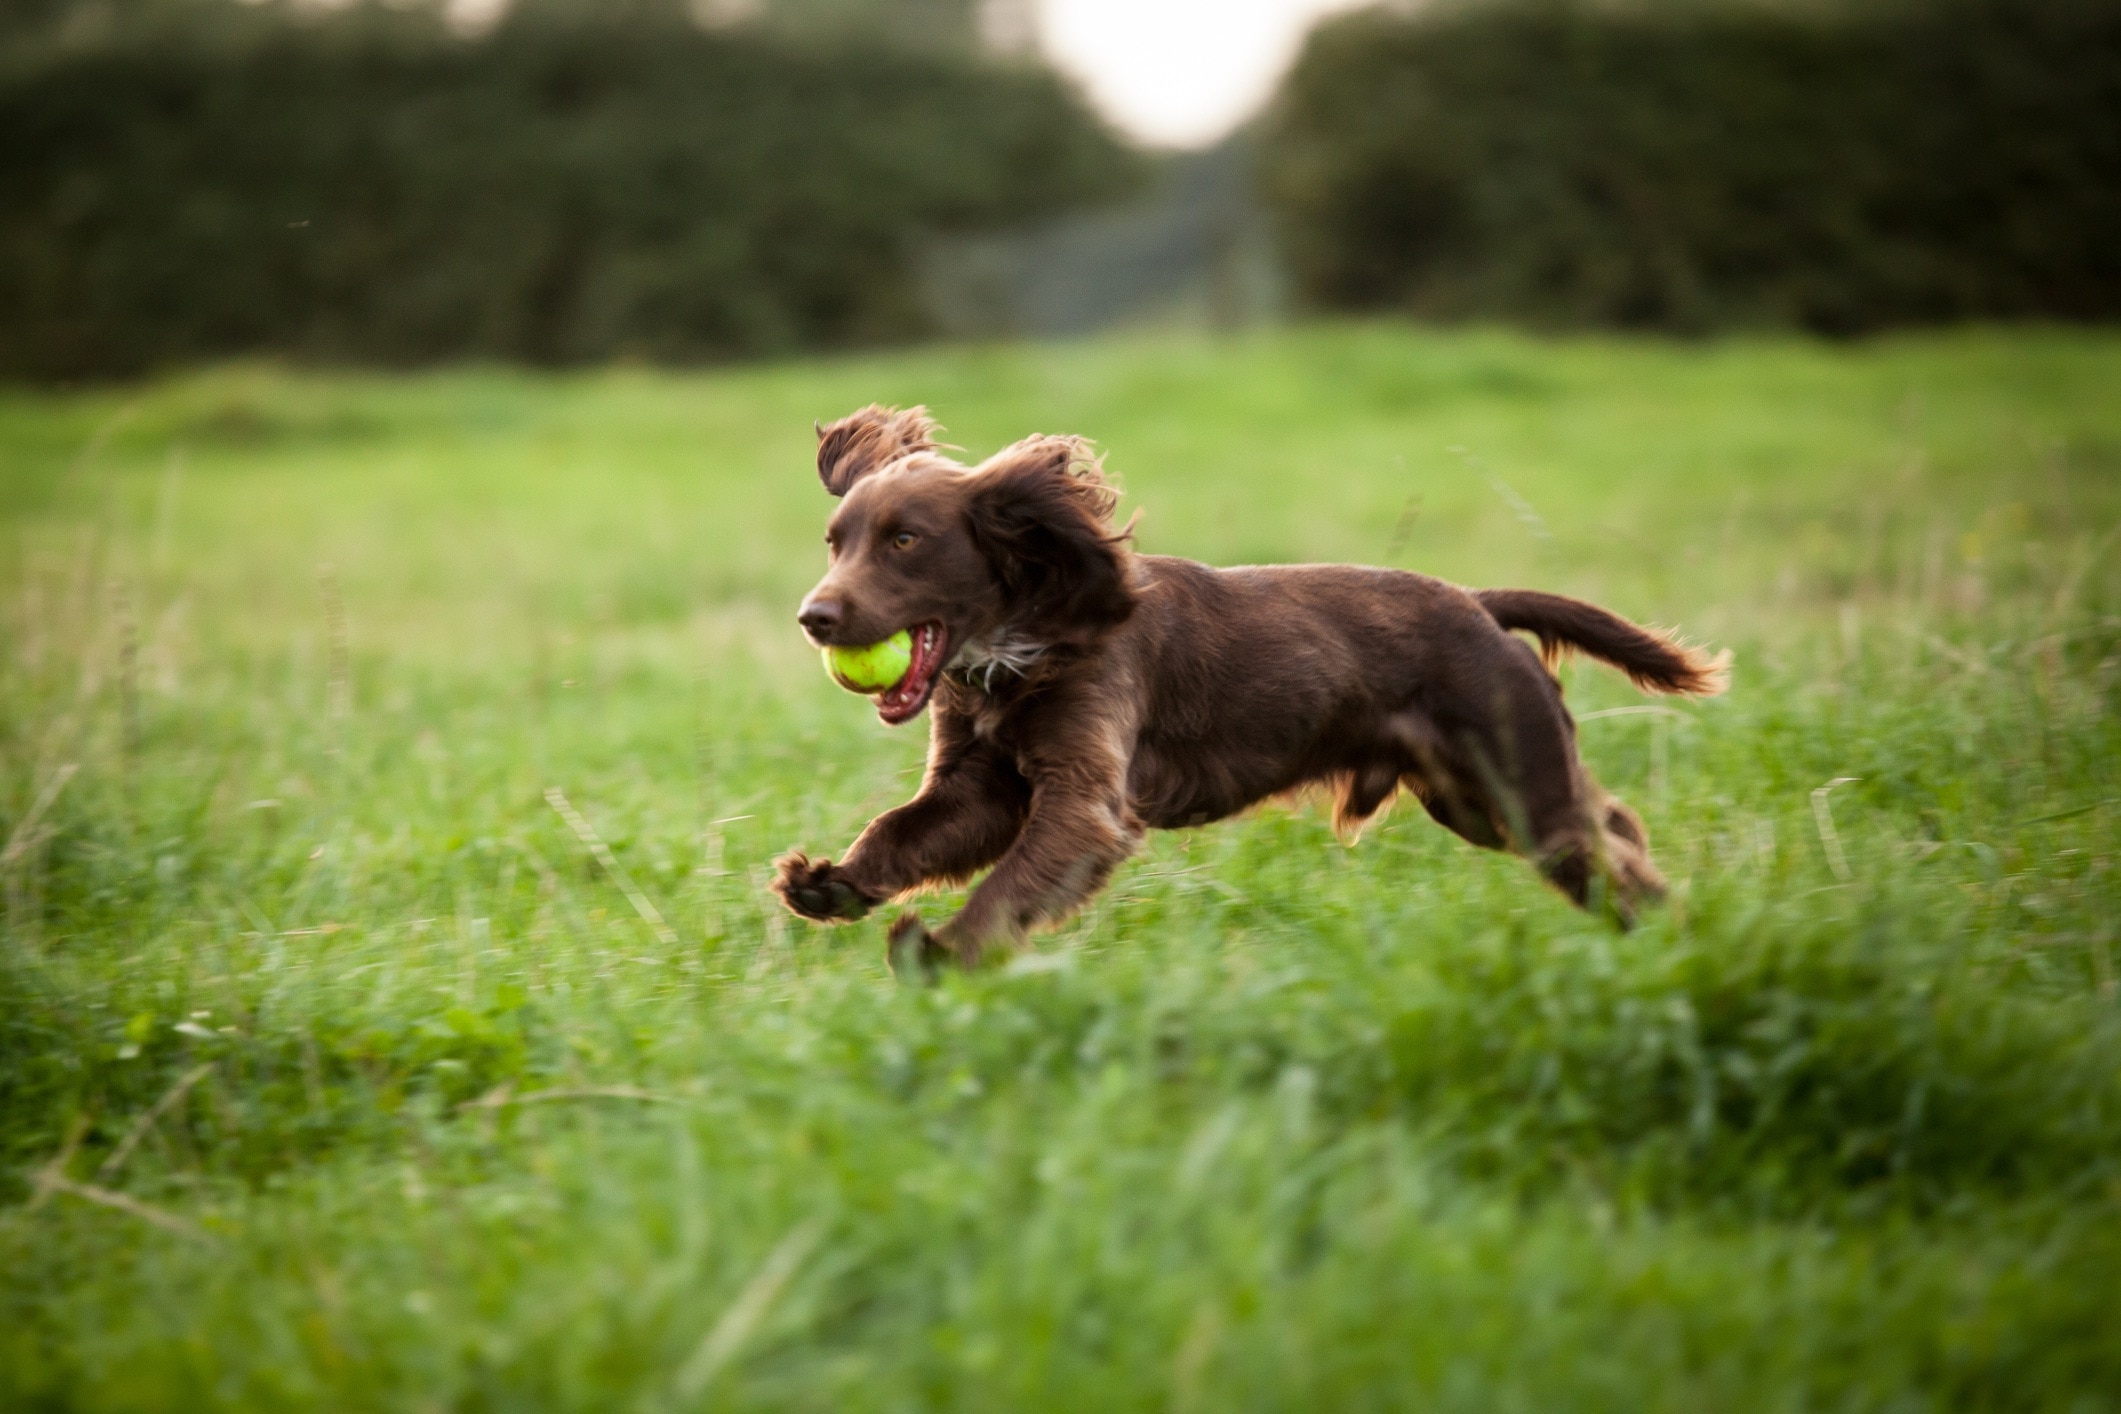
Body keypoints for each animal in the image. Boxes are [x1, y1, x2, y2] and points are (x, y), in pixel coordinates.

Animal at [776, 402, 1722, 966]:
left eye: (905, 541)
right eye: (835, 541)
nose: (813, 617)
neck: (1026, 641)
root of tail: (1479, 606)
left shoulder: (1084, 800)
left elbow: (1009, 885)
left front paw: (940, 952)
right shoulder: (979, 787)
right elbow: (902, 831)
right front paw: (832, 882)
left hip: (1519, 790)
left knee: (1607, 850)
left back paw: (1684, 938)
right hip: (1476, 802)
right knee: (1613, 825)